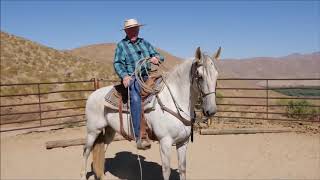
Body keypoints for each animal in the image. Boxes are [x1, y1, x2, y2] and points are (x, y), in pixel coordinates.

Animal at [82, 47, 221, 179]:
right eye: (199, 75)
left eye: (217, 75)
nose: (211, 110)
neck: (173, 100)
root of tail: (92, 95)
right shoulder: (165, 142)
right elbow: (166, 171)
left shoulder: (183, 142)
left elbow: (182, 169)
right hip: (92, 131)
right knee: (86, 151)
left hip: (109, 131)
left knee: (102, 150)